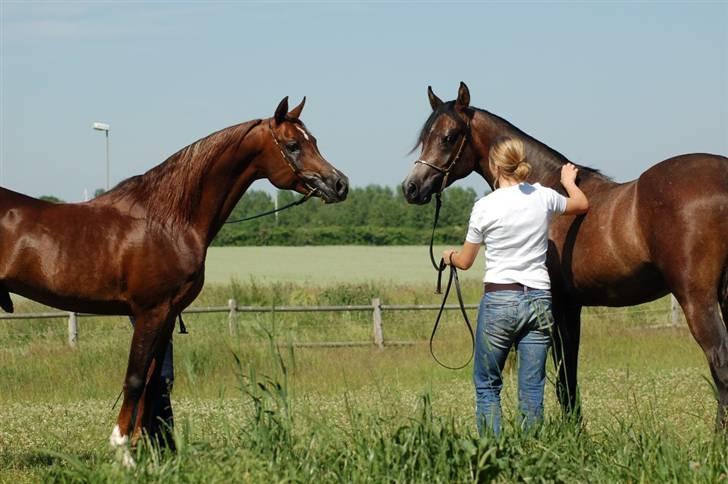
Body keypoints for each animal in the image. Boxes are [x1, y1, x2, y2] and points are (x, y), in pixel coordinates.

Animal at [0, 95, 350, 462]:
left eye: (314, 141)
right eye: (293, 145)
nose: (340, 184)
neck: (168, 219)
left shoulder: (167, 315)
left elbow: (154, 382)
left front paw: (144, 451)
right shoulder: (150, 312)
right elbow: (135, 379)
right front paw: (123, 452)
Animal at [404, 81, 728, 430]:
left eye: (449, 137)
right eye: (424, 138)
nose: (411, 188)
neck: (544, 186)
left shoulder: (556, 304)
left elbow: (563, 376)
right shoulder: (572, 306)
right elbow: (569, 373)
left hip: (696, 299)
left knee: (719, 360)